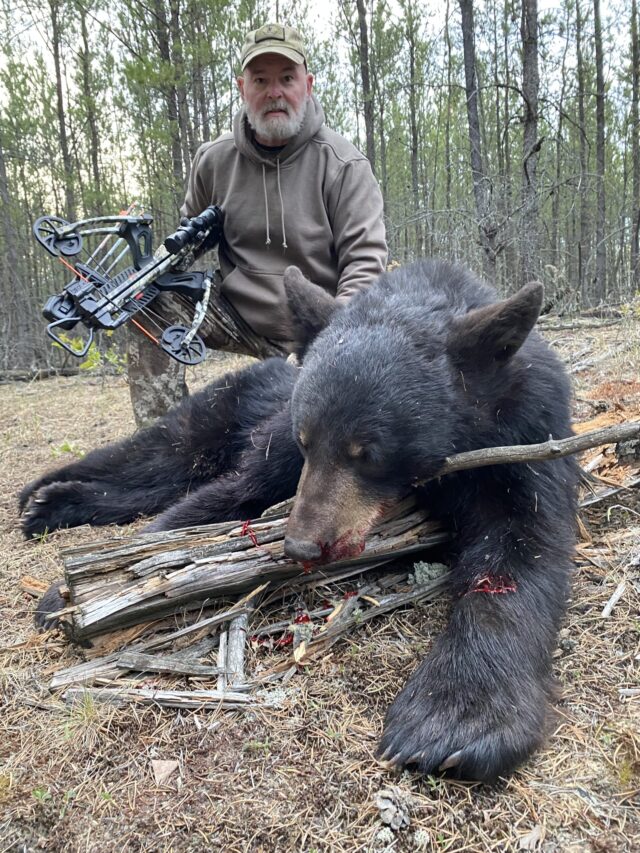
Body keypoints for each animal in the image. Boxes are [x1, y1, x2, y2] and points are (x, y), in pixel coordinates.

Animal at [21, 260, 577, 783]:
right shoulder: (278, 447)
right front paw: (69, 593)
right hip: (221, 408)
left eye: (369, 453)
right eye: (306, 439)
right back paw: (41, 498)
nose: (303, 546)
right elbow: (222, 499)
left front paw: (456, 720)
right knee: (155, 457)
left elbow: (522, 547)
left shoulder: (526, 441)